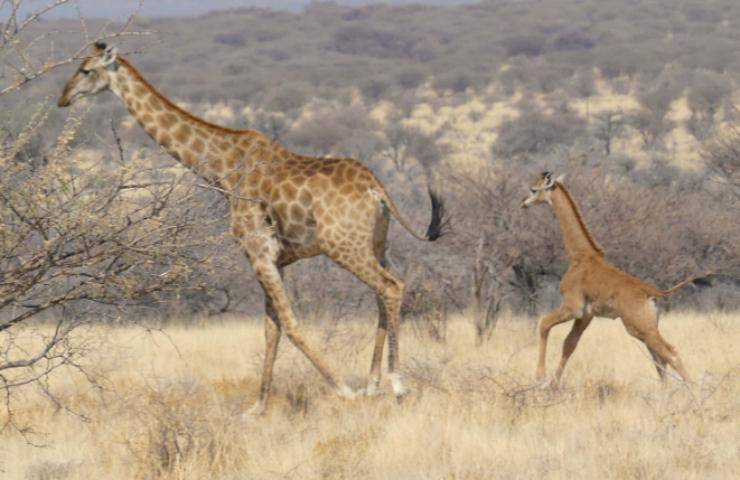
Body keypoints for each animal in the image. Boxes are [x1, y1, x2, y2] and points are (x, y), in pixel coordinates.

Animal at [58, 43, 448, 413]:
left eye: (86, 70)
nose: (63, 98)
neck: (222, 167)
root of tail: (376, 189)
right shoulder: (275, 259)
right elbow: (270, 329)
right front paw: (258, 407)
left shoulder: (257, 252)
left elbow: (289, 324)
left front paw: (343, 391)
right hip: (376, 244)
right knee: (383, 292)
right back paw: (373, 383)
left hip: (343, 245)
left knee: (391, 287)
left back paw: (396, 384)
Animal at [521, 171, 704, 387]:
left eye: (534, 189)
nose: (523, 203)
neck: (580, 256)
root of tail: (652, 293)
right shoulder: (586, 315)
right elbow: (569, 344)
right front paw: (553, 385)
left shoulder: (572, 307)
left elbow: (544, 324)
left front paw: (540, 378)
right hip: (647, 326)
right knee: (659, 358)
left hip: (638, 327)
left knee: (670, 353)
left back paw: (693, 390)